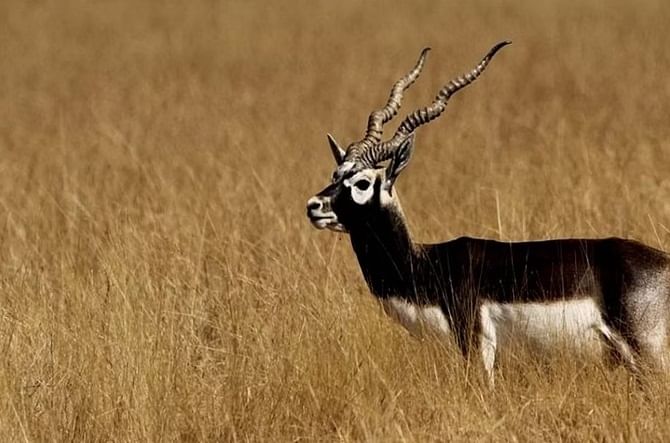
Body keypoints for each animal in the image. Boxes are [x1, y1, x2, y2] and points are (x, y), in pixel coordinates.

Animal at [306, 43, 670, 386]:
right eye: (336, 174)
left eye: (363, 182)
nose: (314, 206)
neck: (426, 265)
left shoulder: (477, 344)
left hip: (648, 355)